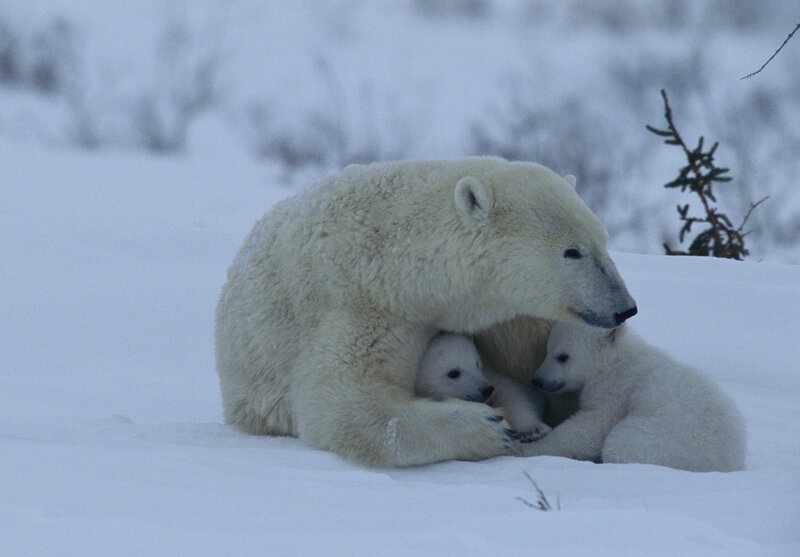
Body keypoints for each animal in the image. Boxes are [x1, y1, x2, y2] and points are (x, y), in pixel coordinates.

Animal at [415, 332, 551, 441]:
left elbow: (510, 393)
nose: (487, 390)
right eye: (453, 373)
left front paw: (532, 430)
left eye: (476, 363)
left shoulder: (489, 375)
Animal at [521, 321, 747, 472]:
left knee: (620, 444)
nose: (537, 380)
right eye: (547, 350)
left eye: (562, 356)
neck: (616, 360)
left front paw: (530, 448)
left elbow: (592, 425)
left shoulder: (616, 388)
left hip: (667, 441)